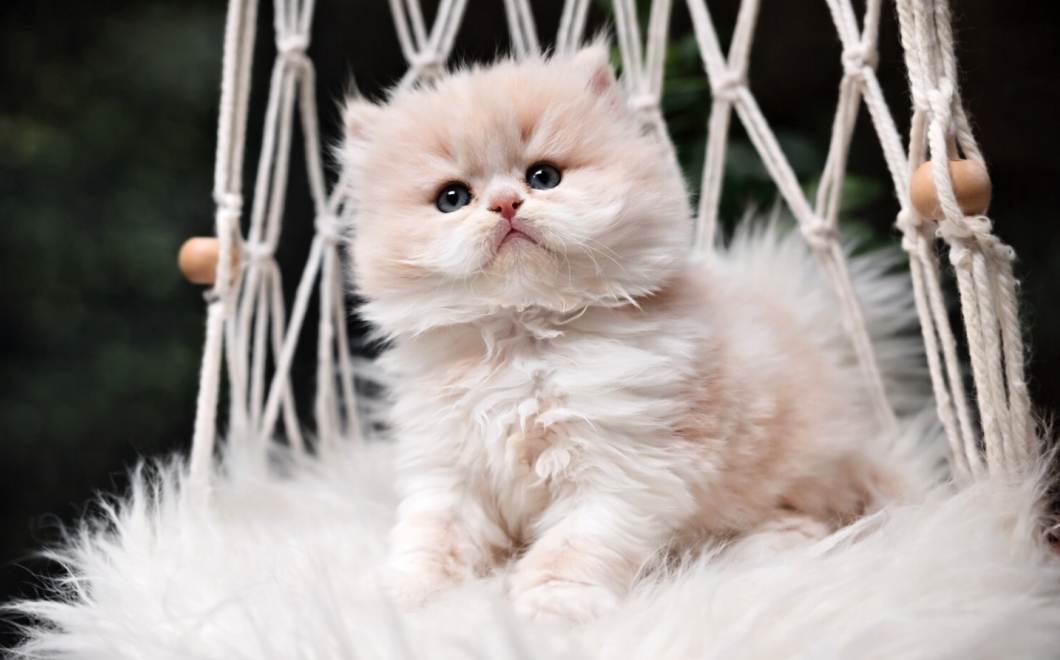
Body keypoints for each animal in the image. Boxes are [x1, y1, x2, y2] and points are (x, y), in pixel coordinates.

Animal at [341, 45, 920, 623]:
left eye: (543, 177)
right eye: (452, 198)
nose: (505, 204)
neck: (525, 335)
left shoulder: (621, 467)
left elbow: (574, 546)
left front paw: (552, 609)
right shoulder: (449, 465)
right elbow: (433, 535)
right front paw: (408, 598)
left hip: (793, 475)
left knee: (804, 522)